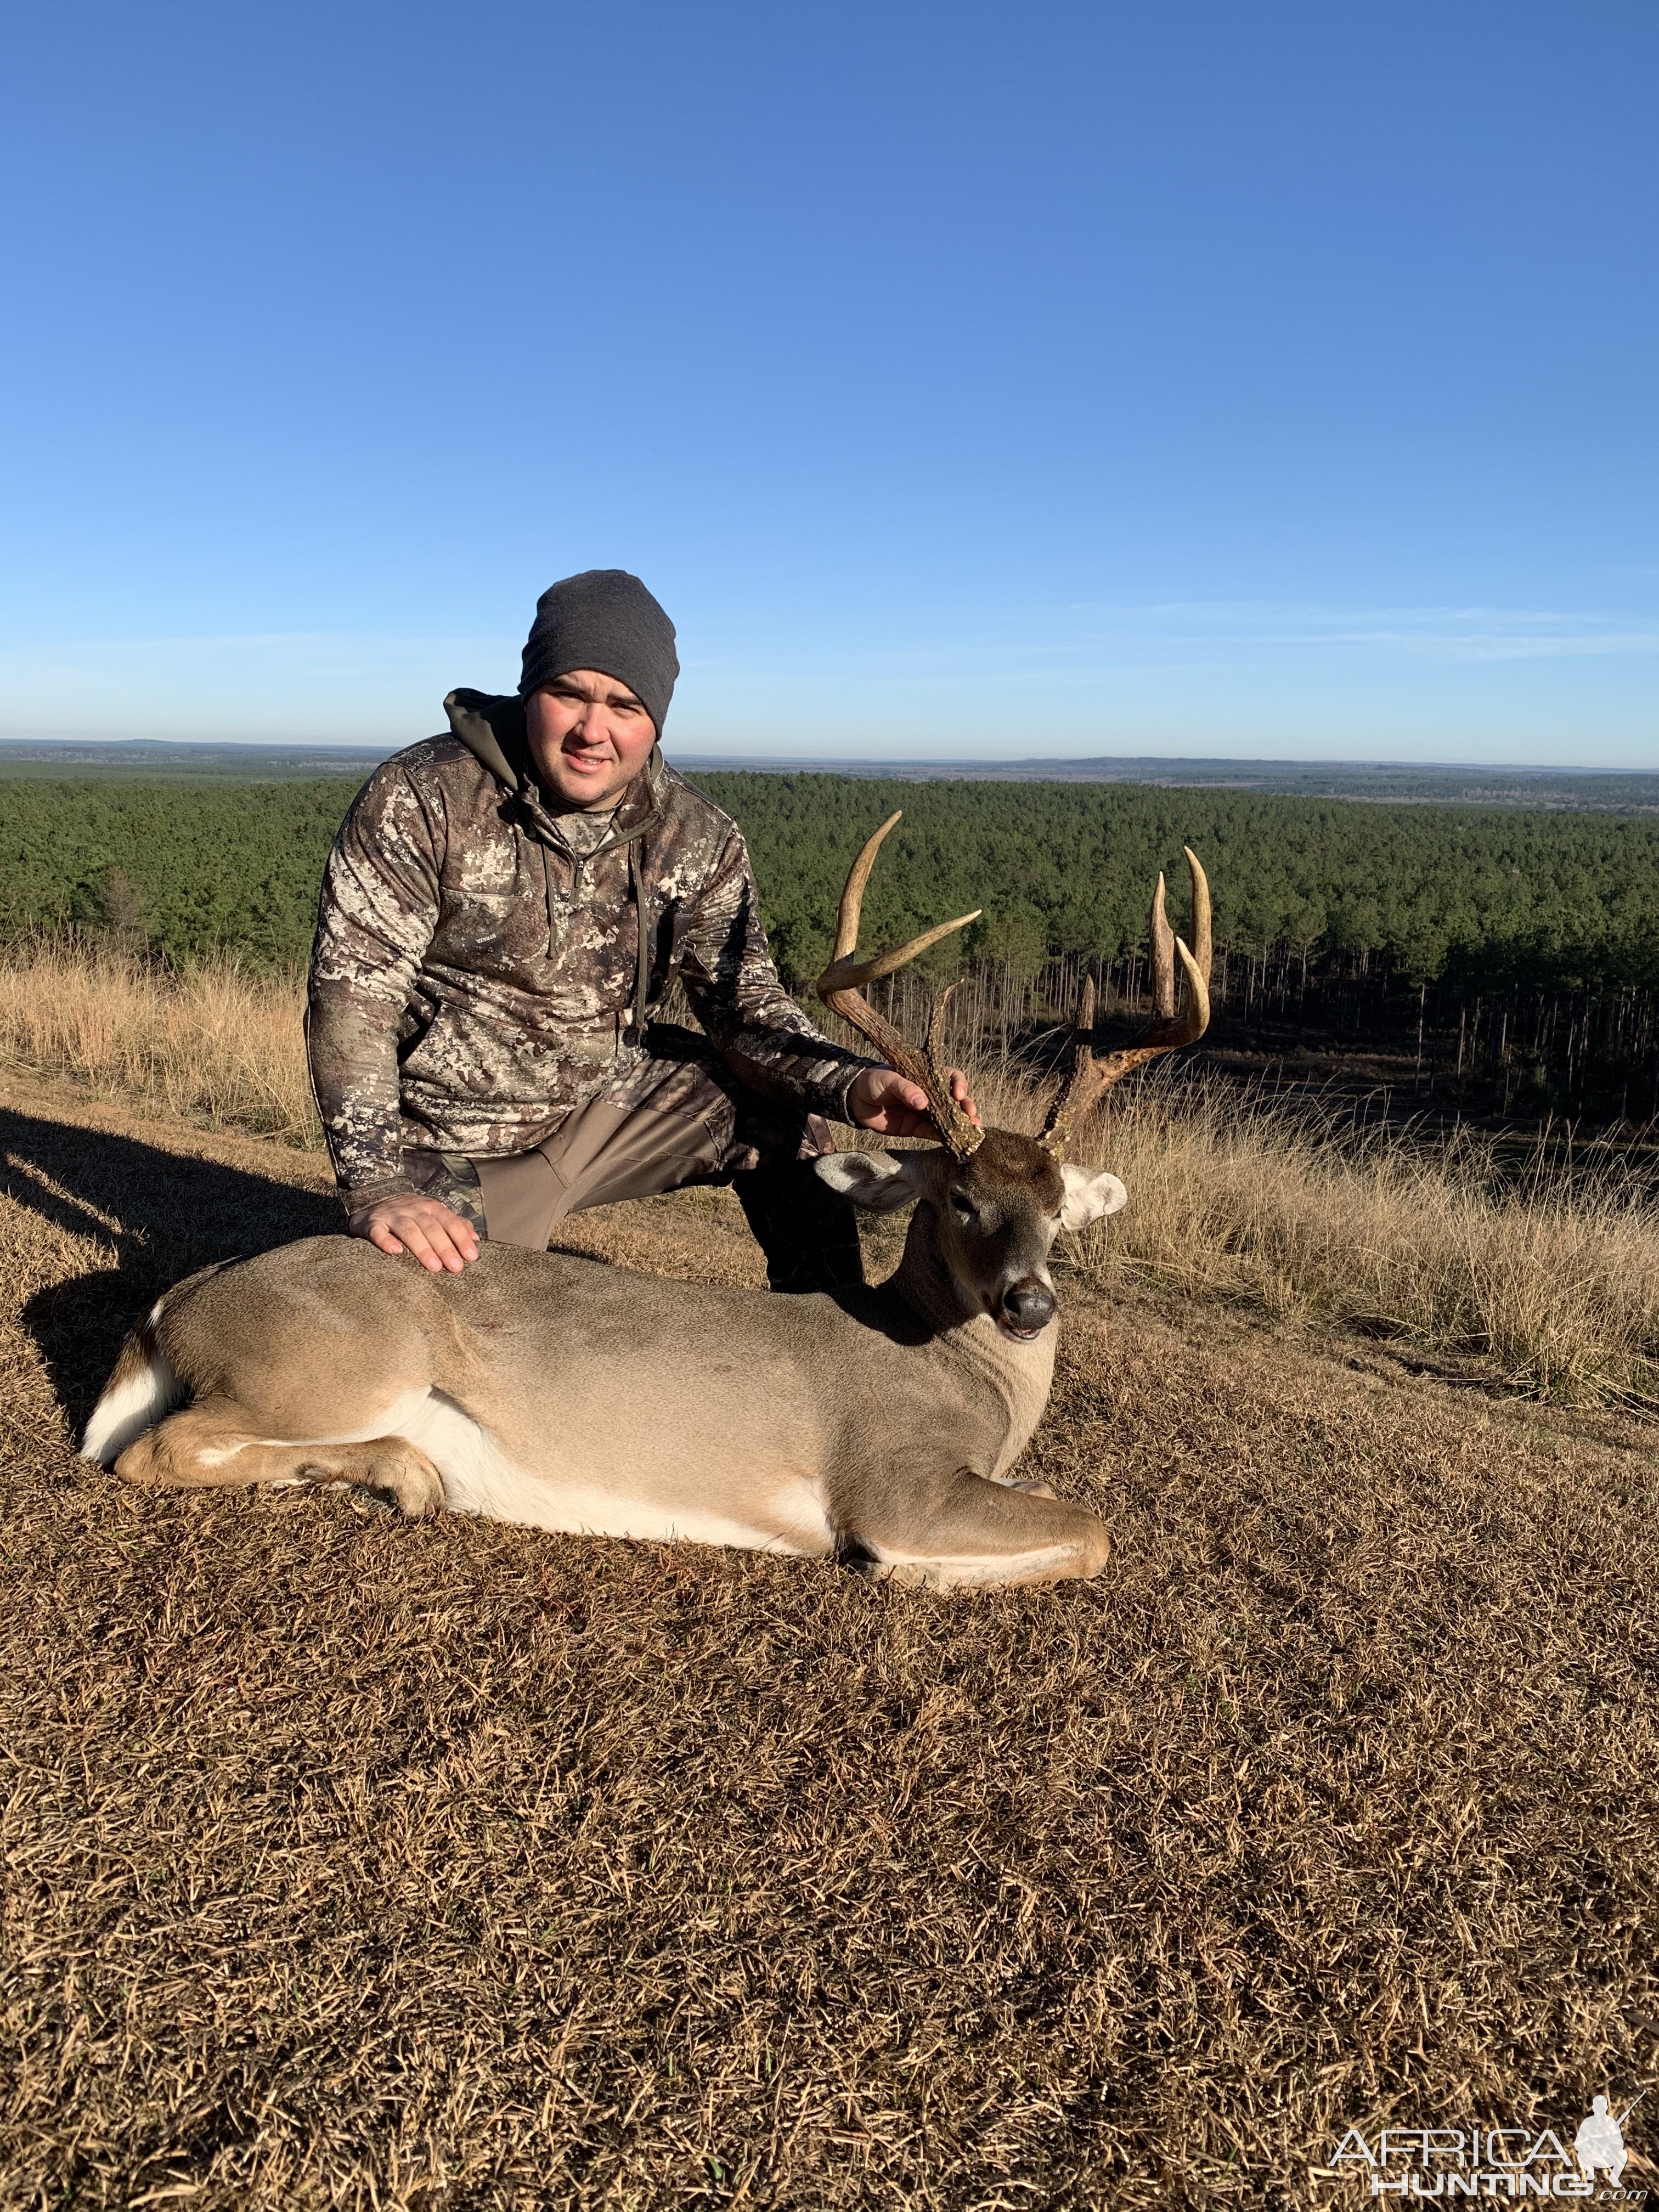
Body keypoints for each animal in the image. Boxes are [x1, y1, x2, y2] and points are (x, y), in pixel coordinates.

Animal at [84, 814, 1212, 1593]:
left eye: (1059, 1207)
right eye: (960, 1199)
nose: (1029, 1302)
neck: (961, 1376)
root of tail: (182, 1301)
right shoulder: (893, 1479)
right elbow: (1092, 1528)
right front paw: (925, 1572)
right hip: (332, 1362)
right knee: (155, 1448)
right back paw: (404, 1472)